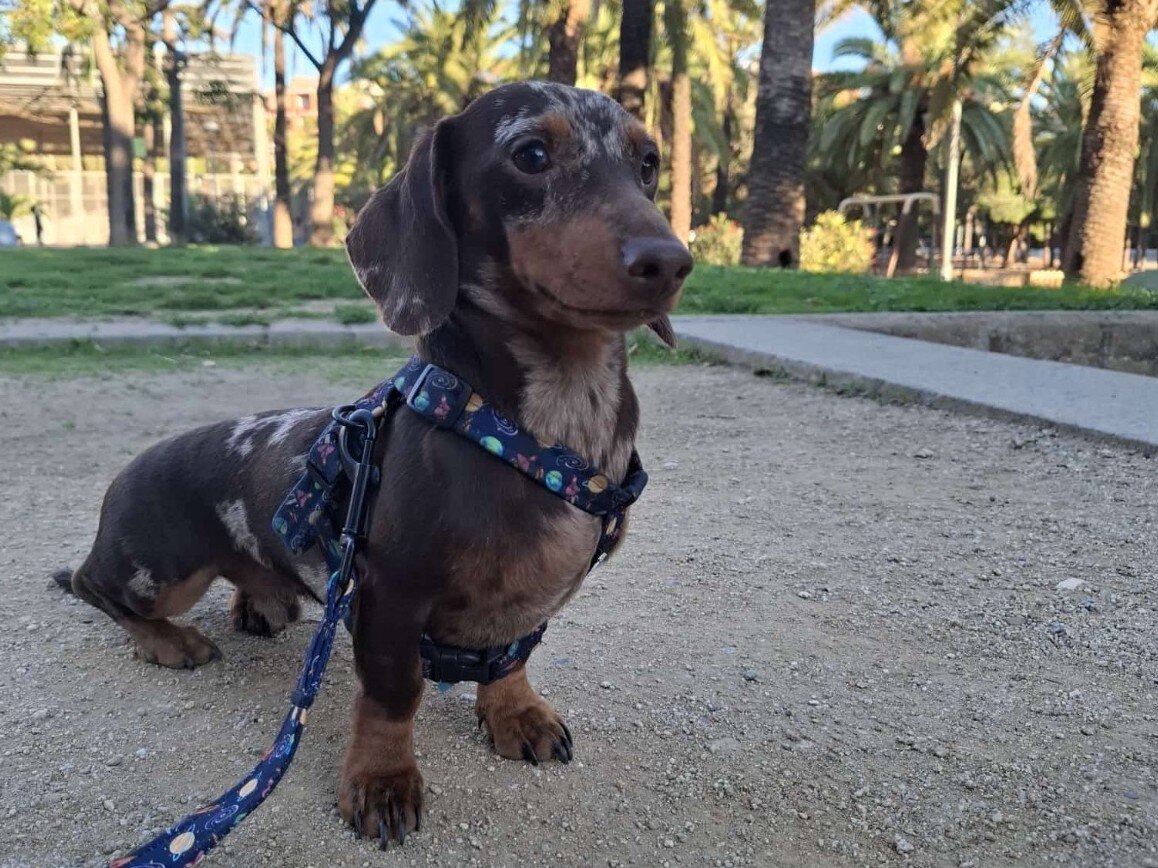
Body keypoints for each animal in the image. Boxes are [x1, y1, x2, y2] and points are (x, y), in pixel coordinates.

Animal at [59, 81, 693, 846]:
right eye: (531, 154)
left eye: (649, 163)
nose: (670, 261)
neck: (539, 436)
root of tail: (124, 475)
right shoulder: (391, 595)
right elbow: (394, 696)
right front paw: (383, 781)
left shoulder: (530, 601)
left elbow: (511, 657)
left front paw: (516, 713)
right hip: (161, 574)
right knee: (95, 587)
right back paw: (168, 640)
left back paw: (260, 599)